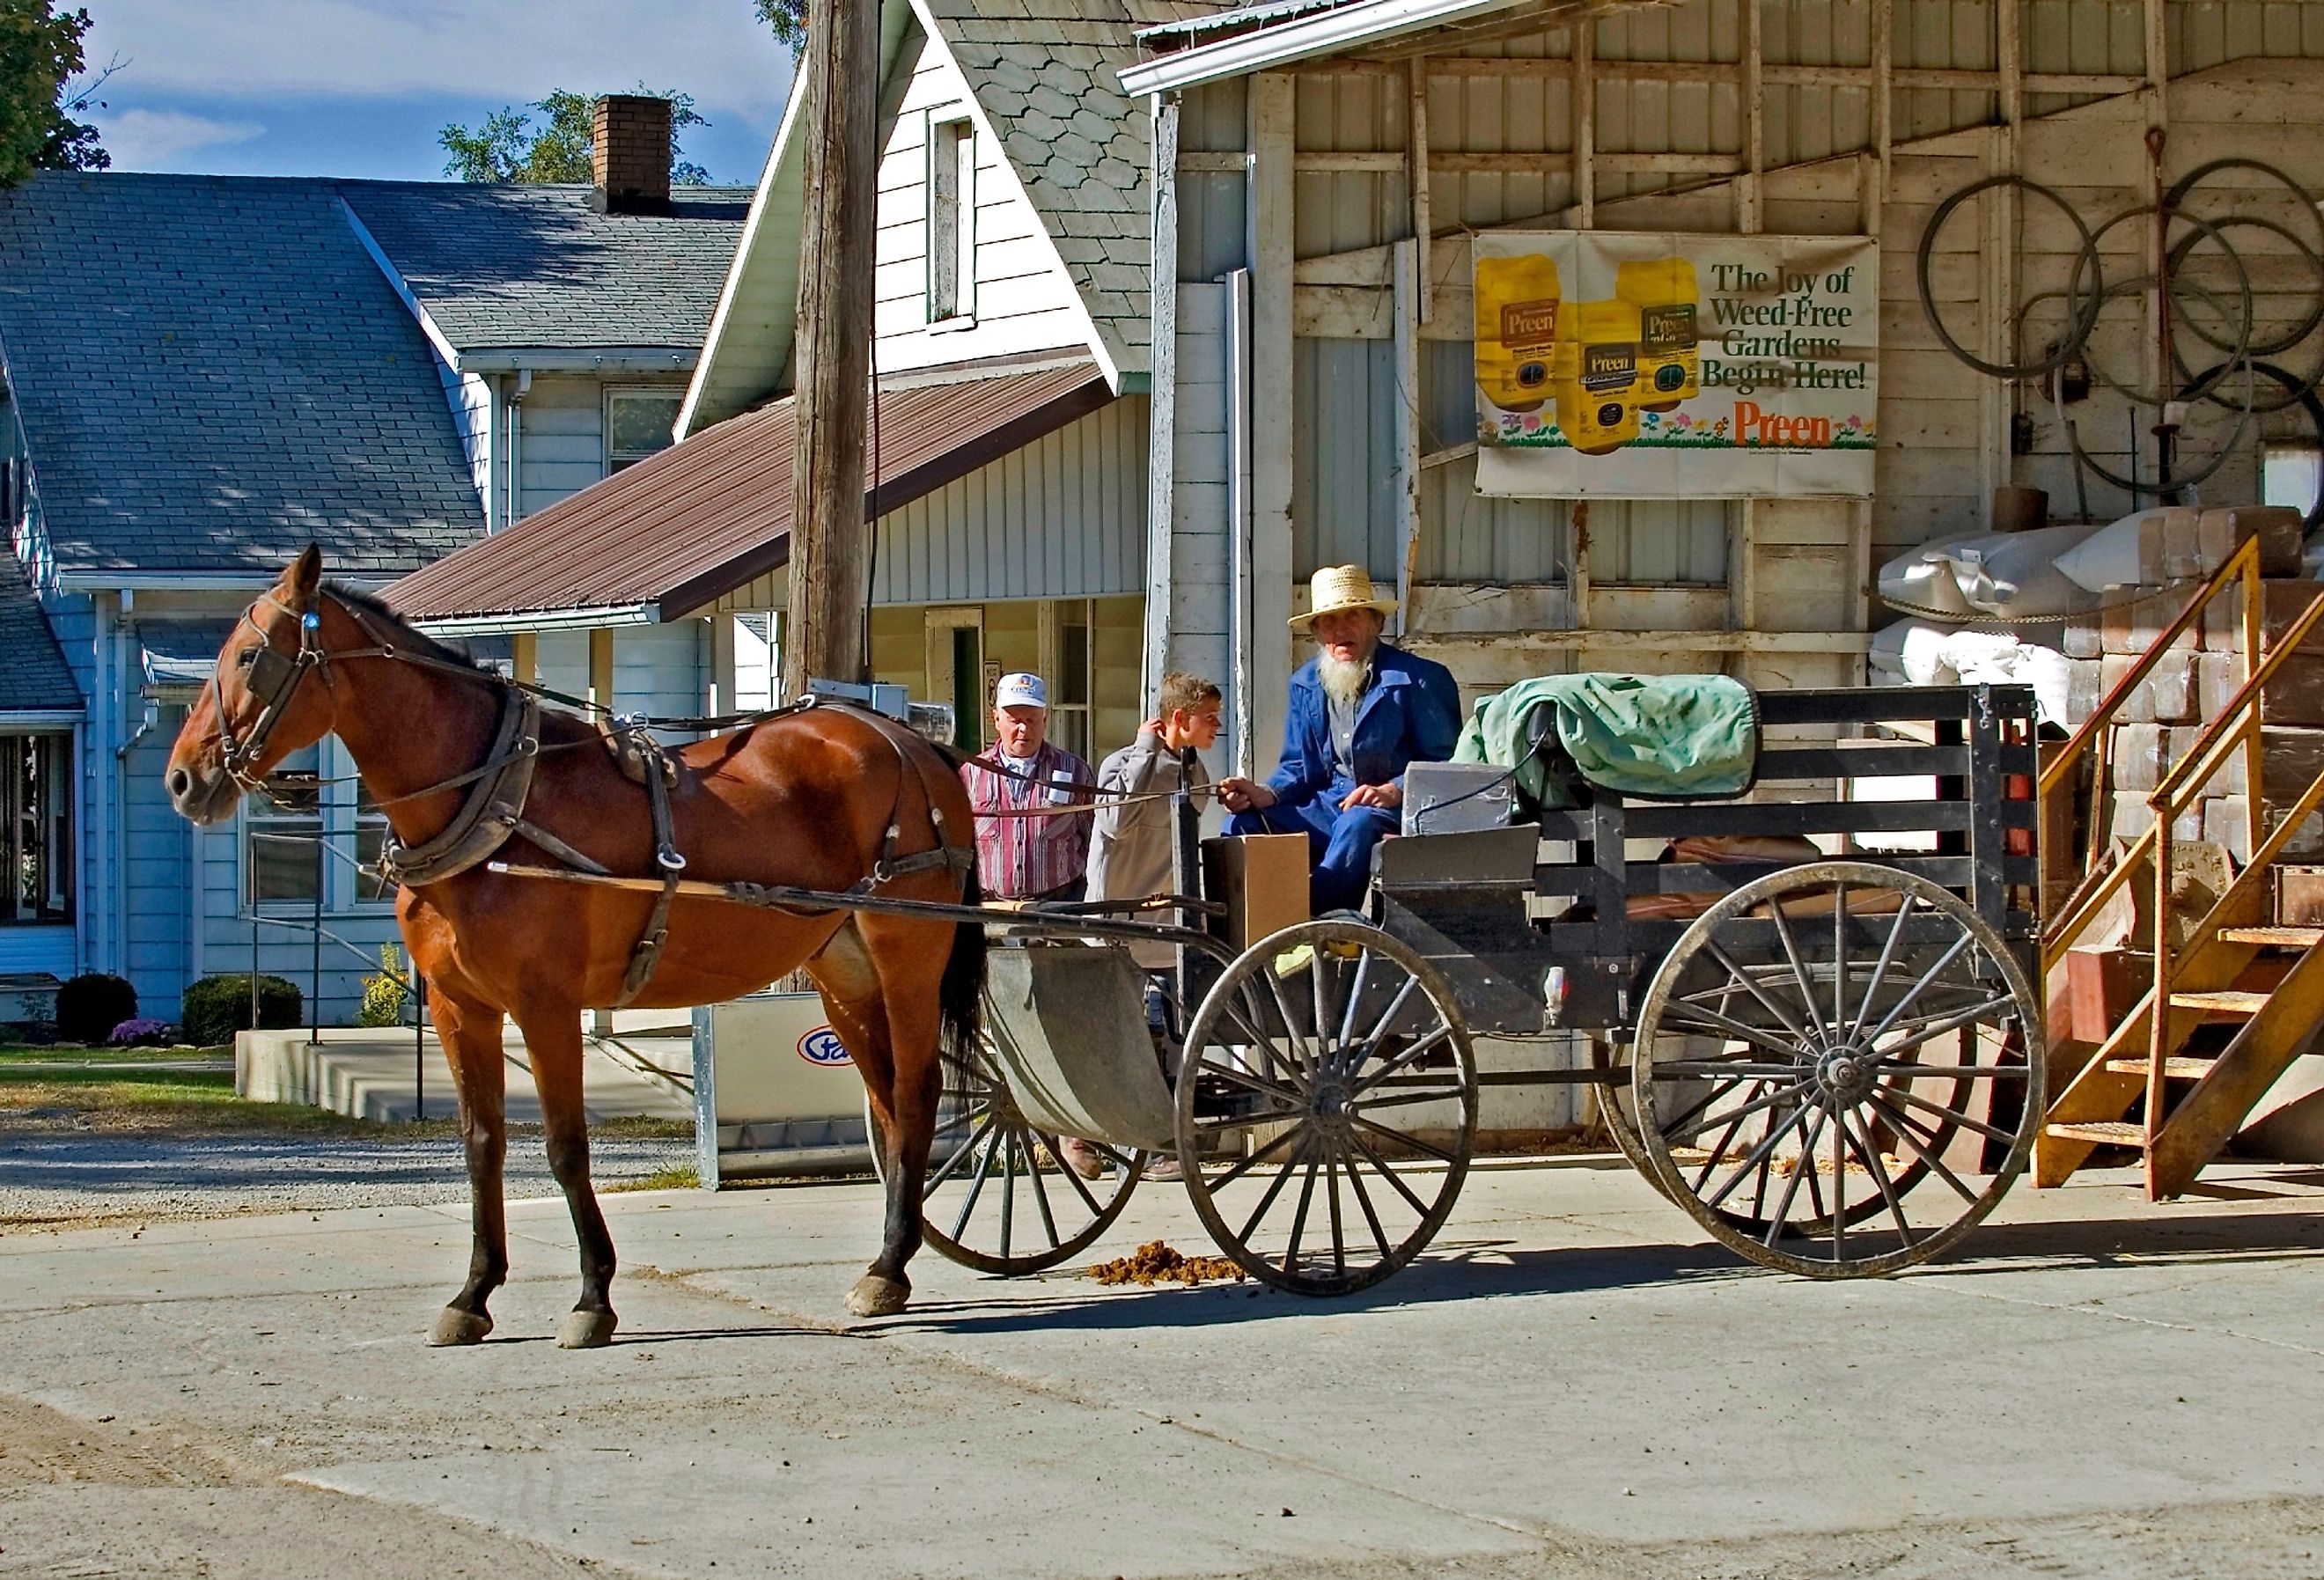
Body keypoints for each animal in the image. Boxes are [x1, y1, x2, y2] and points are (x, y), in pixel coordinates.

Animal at [164, 553, 981, 1348]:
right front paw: (473, 1294)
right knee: (885, 1103)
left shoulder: (546, 1003)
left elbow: (564, 1146)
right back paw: (889, 1261)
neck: (496, 800)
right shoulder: (462, 1006)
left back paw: (890, 1266)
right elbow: (483, 1142)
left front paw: (592, 1298)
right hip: (844, 970)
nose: (182, 779)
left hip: (908, 956)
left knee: (917, 1094)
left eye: (250, 656)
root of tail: (915, 743)